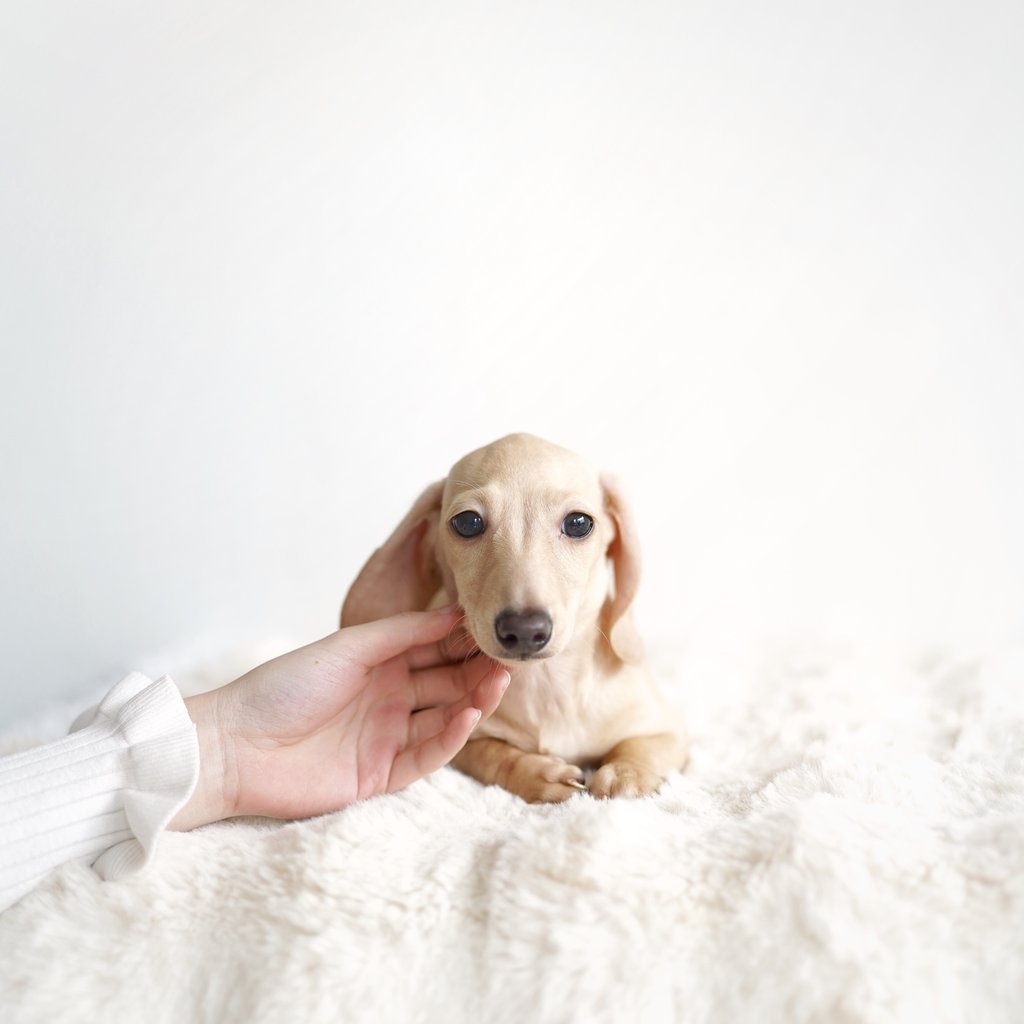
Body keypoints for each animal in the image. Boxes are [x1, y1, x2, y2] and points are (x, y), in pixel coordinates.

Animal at [341, 433, 687, 803]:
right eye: (467, 522)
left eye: (578, 523)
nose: (523, 630)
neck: (547, 686)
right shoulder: (462, 735)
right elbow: (493, 754)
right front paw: (539, 773)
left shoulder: (666, 730)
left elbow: (644, 747)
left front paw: (626, 774)